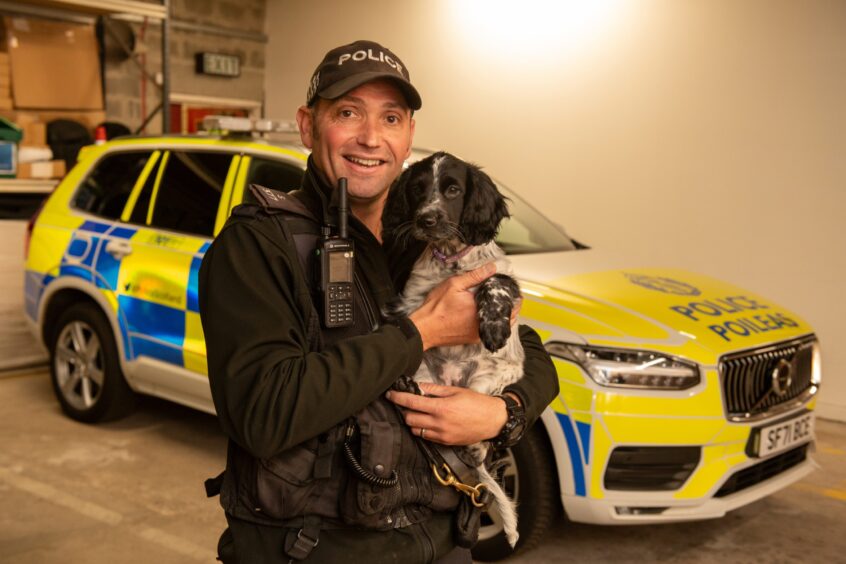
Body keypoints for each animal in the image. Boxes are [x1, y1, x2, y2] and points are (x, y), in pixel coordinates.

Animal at [382, 150, 524, 548]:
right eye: (417, 189)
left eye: (453, 189)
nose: (426, 219)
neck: (451, 261)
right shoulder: (412, 301)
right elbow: (404, 326)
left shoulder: (502, 275)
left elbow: (497, 281)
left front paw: (493, 325)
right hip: (429, 373)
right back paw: (407, 387)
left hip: (489, 379)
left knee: (479, 443)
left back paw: (473, 448)